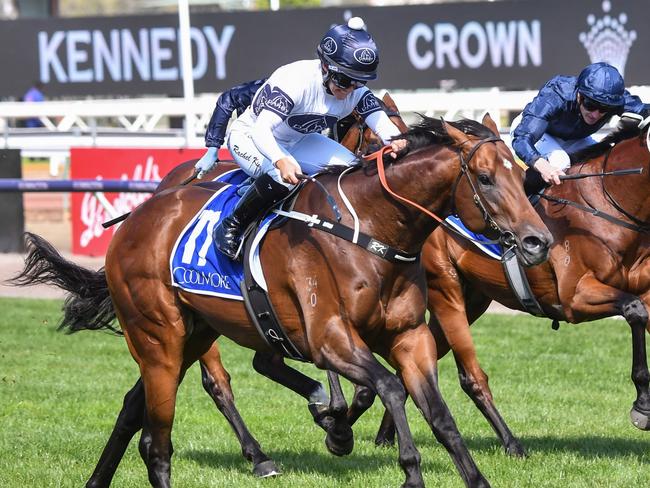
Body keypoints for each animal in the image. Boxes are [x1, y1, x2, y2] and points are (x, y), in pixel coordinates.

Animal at [11, 112, 548, 486]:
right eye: (485, 178)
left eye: (520, 175)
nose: (539, 241)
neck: (371, 231)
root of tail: (134, 219)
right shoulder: (329, 339)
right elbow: (391, 389)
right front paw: (400, 464)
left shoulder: (409, 336)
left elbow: (440, 417)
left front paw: (474, 476)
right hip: (158, 337)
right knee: (158, 440)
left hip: (191, 334)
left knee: (132, 407)